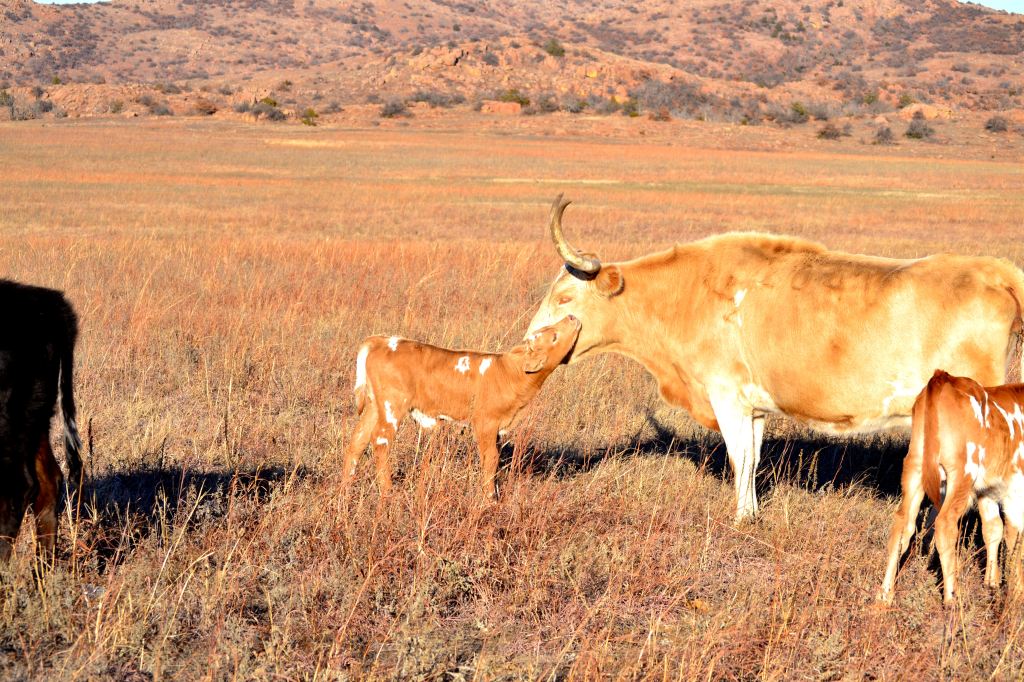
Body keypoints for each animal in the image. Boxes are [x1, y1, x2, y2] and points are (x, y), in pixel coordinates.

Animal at [342, 315, 581, 498]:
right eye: (553, 336)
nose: (572, 316)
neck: (509, 373)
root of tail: (382, 340)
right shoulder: (485, 423)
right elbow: (491, 459)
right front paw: (489, 499)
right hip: (392, 406)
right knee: (380, 441)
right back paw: (387, 491)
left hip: (374, 405)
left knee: (358, 440)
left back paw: (345, 487)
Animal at [527, 195, 1024, 522]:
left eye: (565, 296)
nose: (529, 344)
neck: (689, 293)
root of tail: (994, 271)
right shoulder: (754, 407)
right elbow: (752, 459)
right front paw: (751, 513)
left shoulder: (726, 396)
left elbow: (739, 459)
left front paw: (741, 520)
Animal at [879, 371, 1024, 605]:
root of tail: (944, 377)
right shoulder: (1014, 491)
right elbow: (1014, 537)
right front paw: (1016, 593)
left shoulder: (987, 491)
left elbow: (993, 529)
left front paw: (992, 583)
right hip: (962, 473)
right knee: (945, 524)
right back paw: (952, 597)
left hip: (915, 467)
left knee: (903, 524)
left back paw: (884, 596)